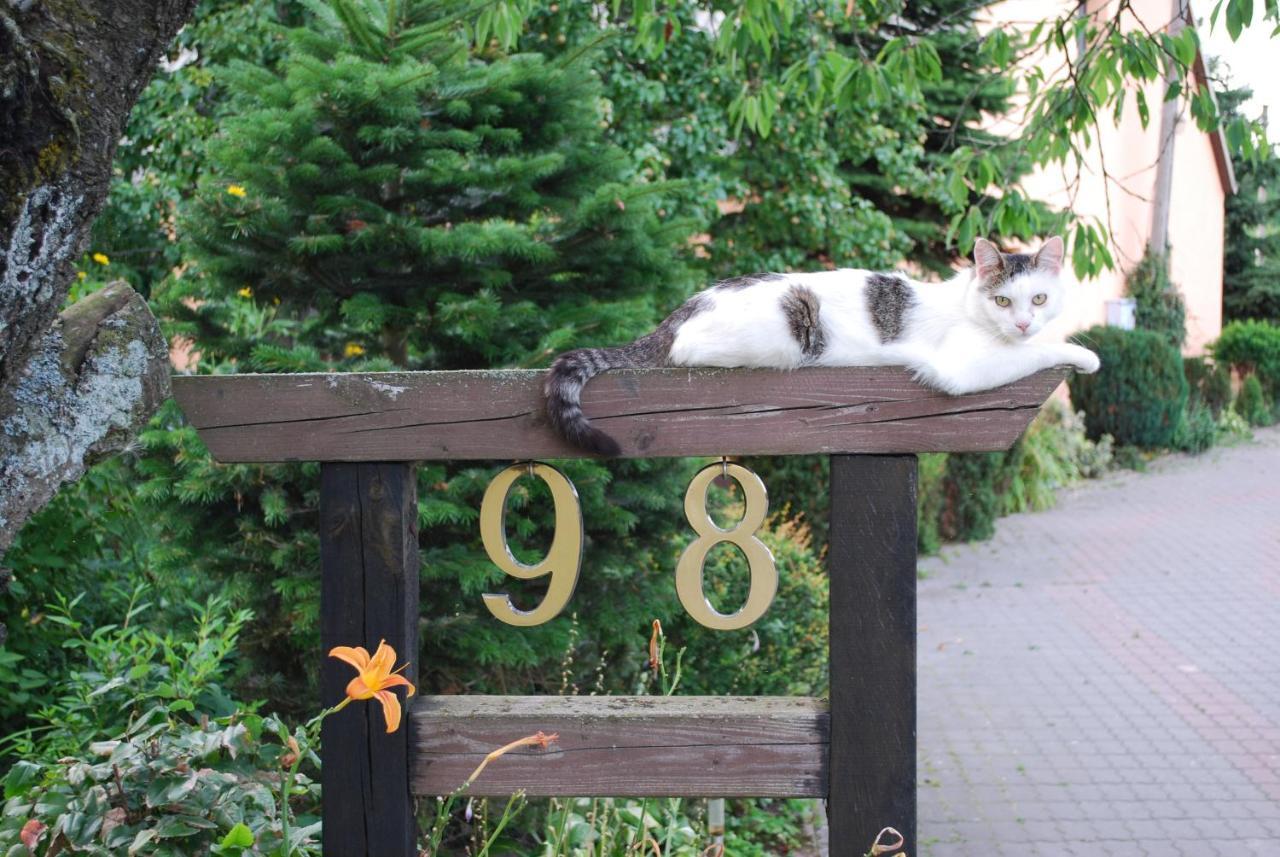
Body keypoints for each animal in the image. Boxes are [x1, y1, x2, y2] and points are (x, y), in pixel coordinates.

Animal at [542, 236, 1100, 455]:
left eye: (1039, 297)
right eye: (1004, 300)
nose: (1024, 322)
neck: (968, 306)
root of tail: (681, 309)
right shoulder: (965, 364)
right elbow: (1038, 352)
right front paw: (1085, 355)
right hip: (790, 327)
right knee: (685, 352)